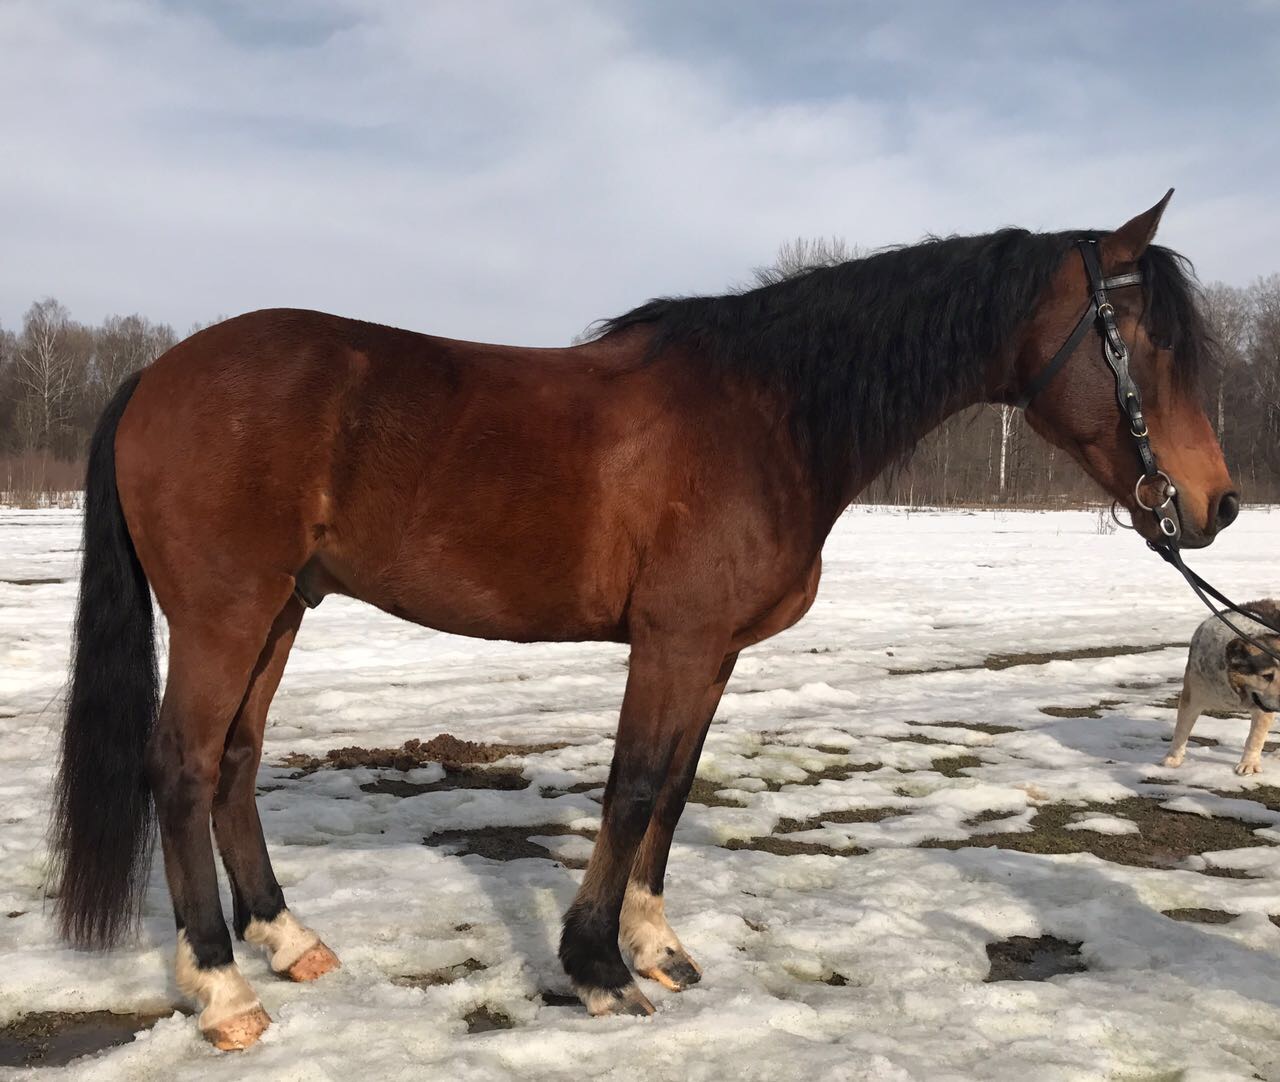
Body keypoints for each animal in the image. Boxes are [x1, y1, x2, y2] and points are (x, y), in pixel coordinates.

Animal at [51, 192, 1237, 1050]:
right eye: (1136, 339)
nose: (1216, 504)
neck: (770, 415)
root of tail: (158, 371)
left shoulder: (710, 654)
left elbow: (671, 786)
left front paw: (655, 944)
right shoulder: (671, 643)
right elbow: (628, 787)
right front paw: (598, 970)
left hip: (282, 610)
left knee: (238, 759)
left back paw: (288, 940)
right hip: (225, 613)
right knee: (183, 766)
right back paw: (221, 990)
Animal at [1161, 600, 1280, 776]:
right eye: (1267, 676)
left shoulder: (1262, 706)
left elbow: (1255, 737)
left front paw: (1249, 764)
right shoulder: (1191, 695)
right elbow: (1182, 728)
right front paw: (1173, 758)